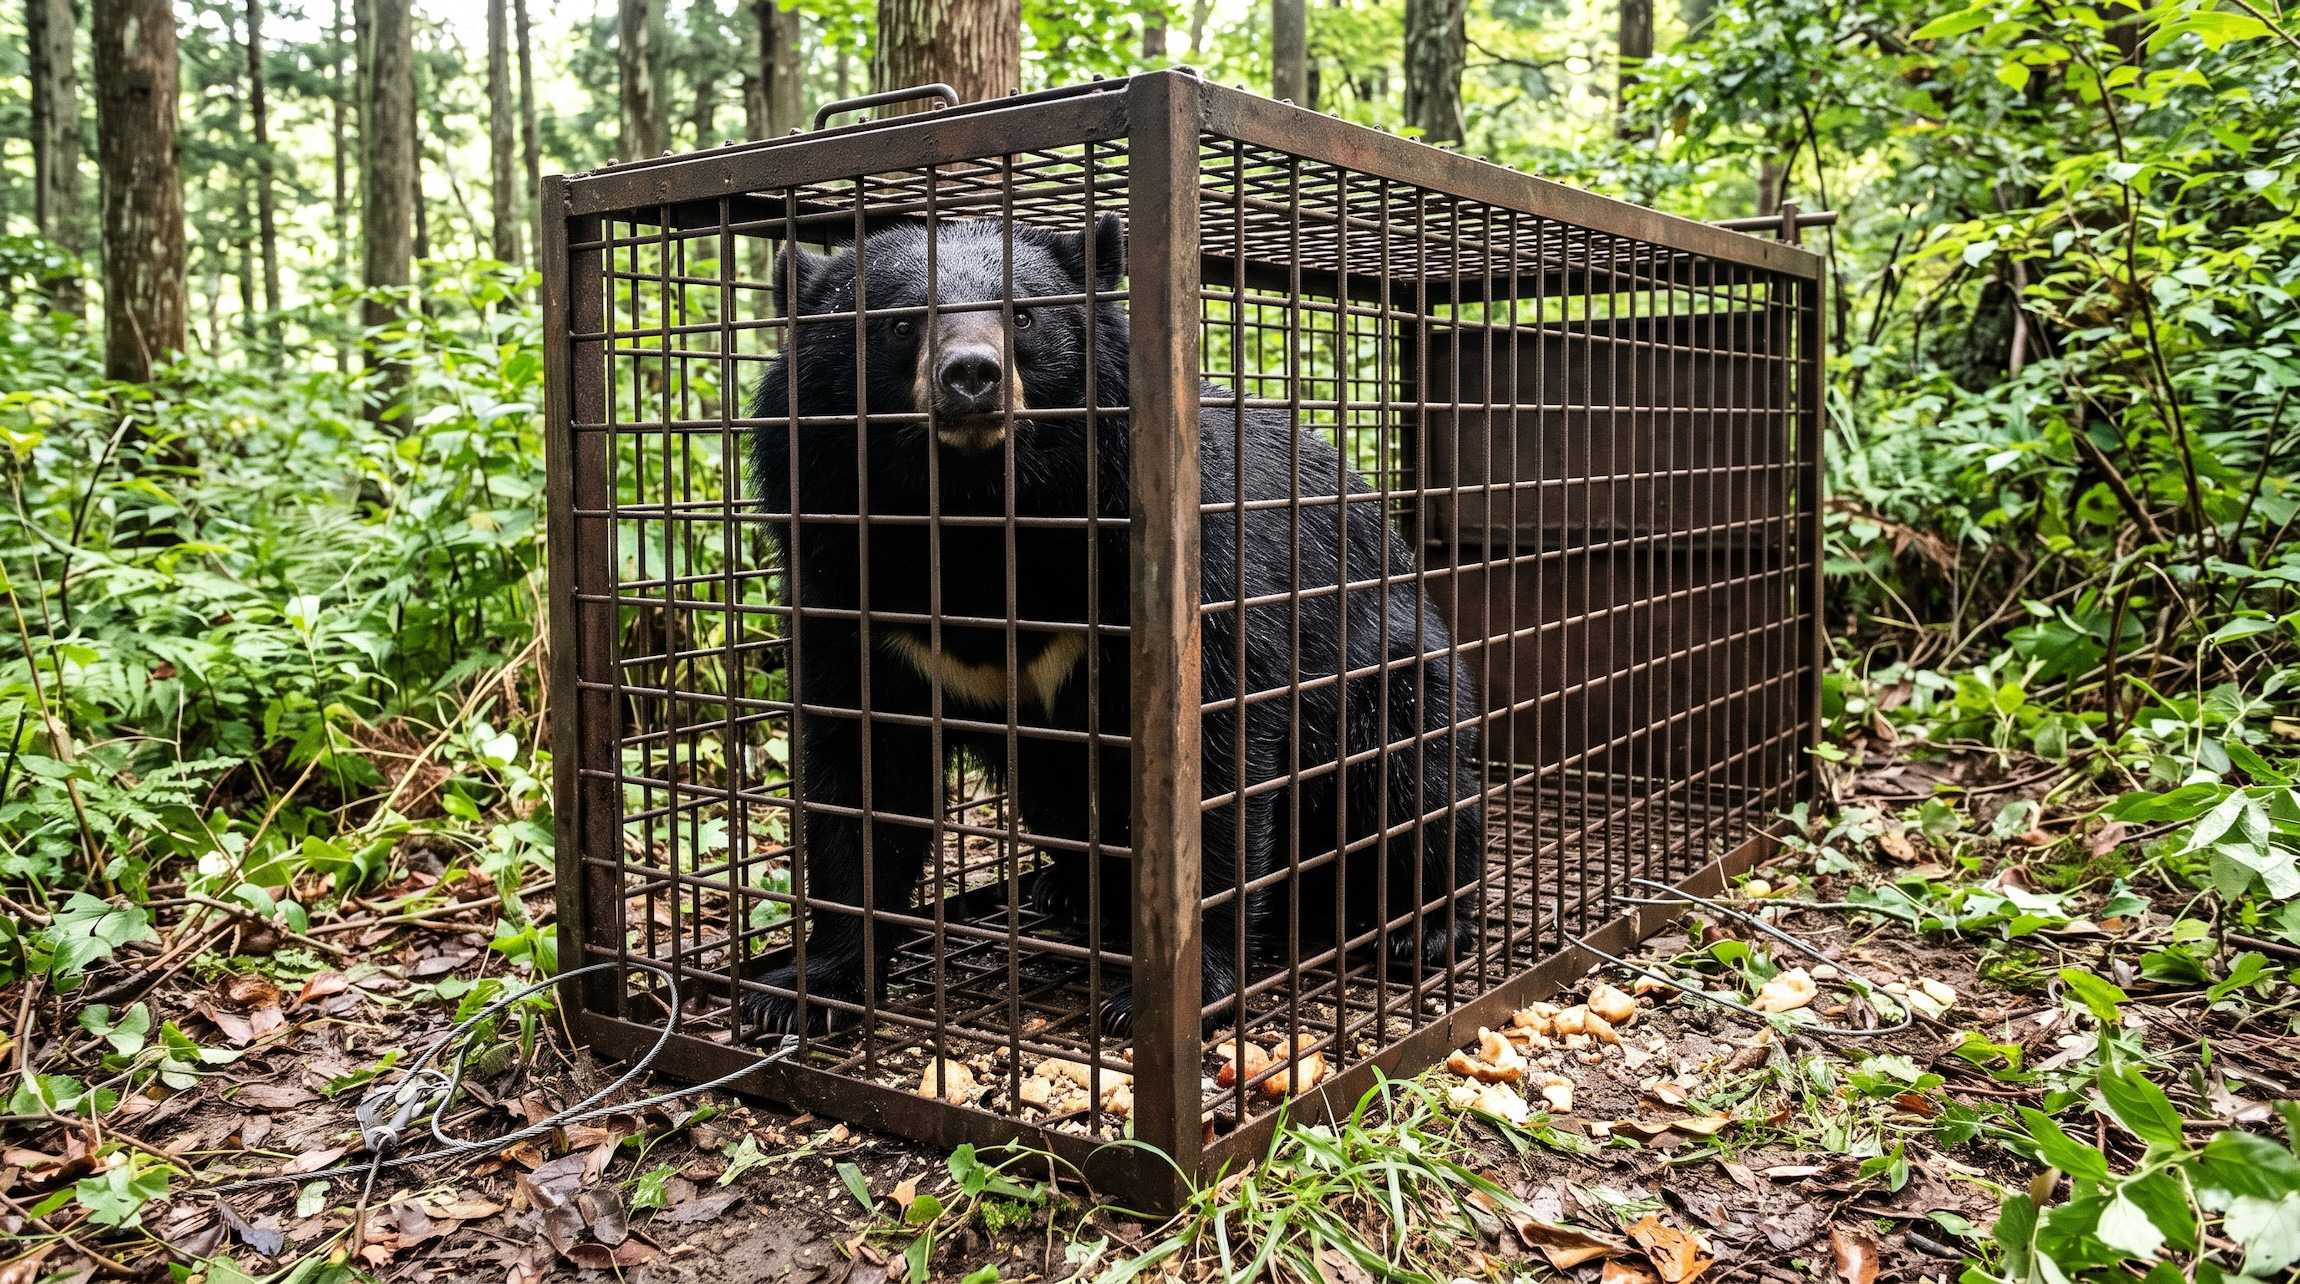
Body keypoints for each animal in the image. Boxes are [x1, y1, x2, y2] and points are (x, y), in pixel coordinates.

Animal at [742, 214, 1484, 1036]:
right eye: (901, 322)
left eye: (1024, 316)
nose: (971, 377)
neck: (976, 512)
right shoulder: (847, 578)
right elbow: (861, 768)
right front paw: (803, 989)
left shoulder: (1180, 564)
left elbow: (1216, 758)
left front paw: (1180, 990)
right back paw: (1068, 891)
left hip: (1392, 674)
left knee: (1411, 782)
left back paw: (1425, 927)